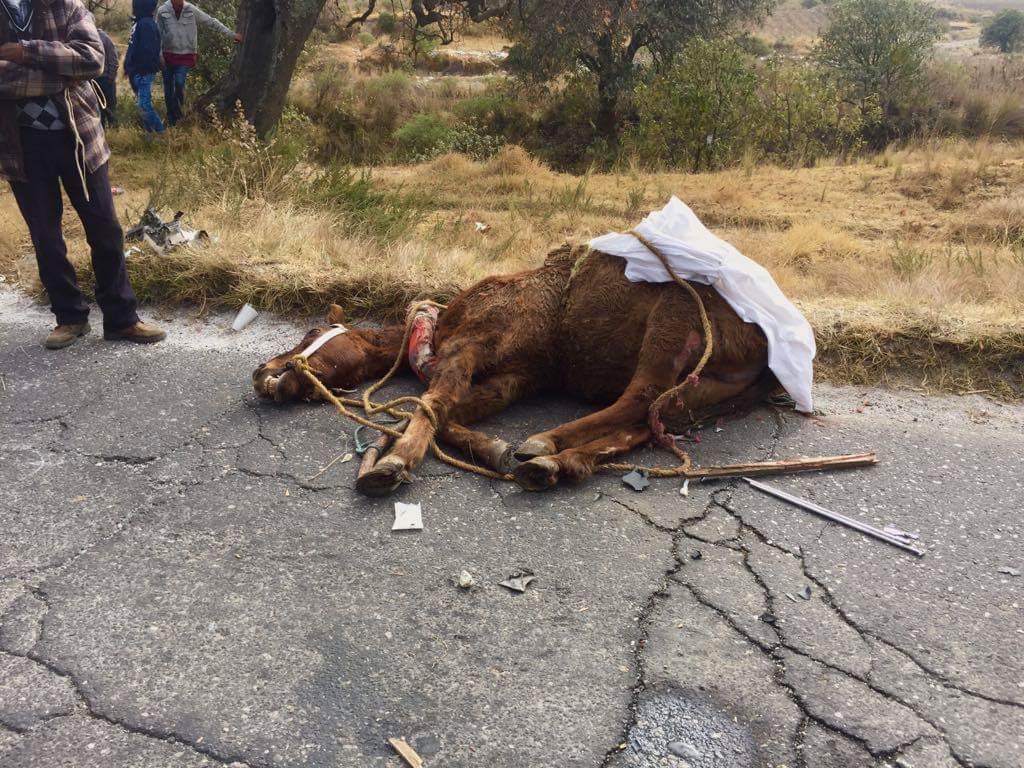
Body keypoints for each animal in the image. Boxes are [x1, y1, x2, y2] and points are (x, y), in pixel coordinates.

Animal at [253, 247, 774, 499]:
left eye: (313, 331)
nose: (265, 372)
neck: (437, 324)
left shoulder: (470, 346)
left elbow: (435, 403)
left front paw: (395, 460)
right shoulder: (517, 378)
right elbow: (448, 413)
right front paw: (491, 448)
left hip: (671, 322)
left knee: (638, 399)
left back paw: (545, 445)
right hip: (701, 390)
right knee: (645, 425)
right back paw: (559, 463)